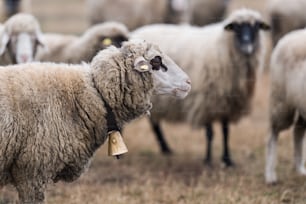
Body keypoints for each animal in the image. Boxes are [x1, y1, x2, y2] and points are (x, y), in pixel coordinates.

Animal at [133, 8, 268, 167]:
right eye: (236, 27)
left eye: (257, 27)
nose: (247, 47)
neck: (223, 47)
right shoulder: (206, 101)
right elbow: (210, 133)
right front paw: (208, 160)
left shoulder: (227, 103)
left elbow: (226, 131)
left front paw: (227, 160)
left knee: (154, 123)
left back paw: (165, 148)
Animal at [264, 28, 306, 183]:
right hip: (281, 104)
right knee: (272, 135)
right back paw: (270, 176)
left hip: (300, 104)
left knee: (297, 131)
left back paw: (299, 169)